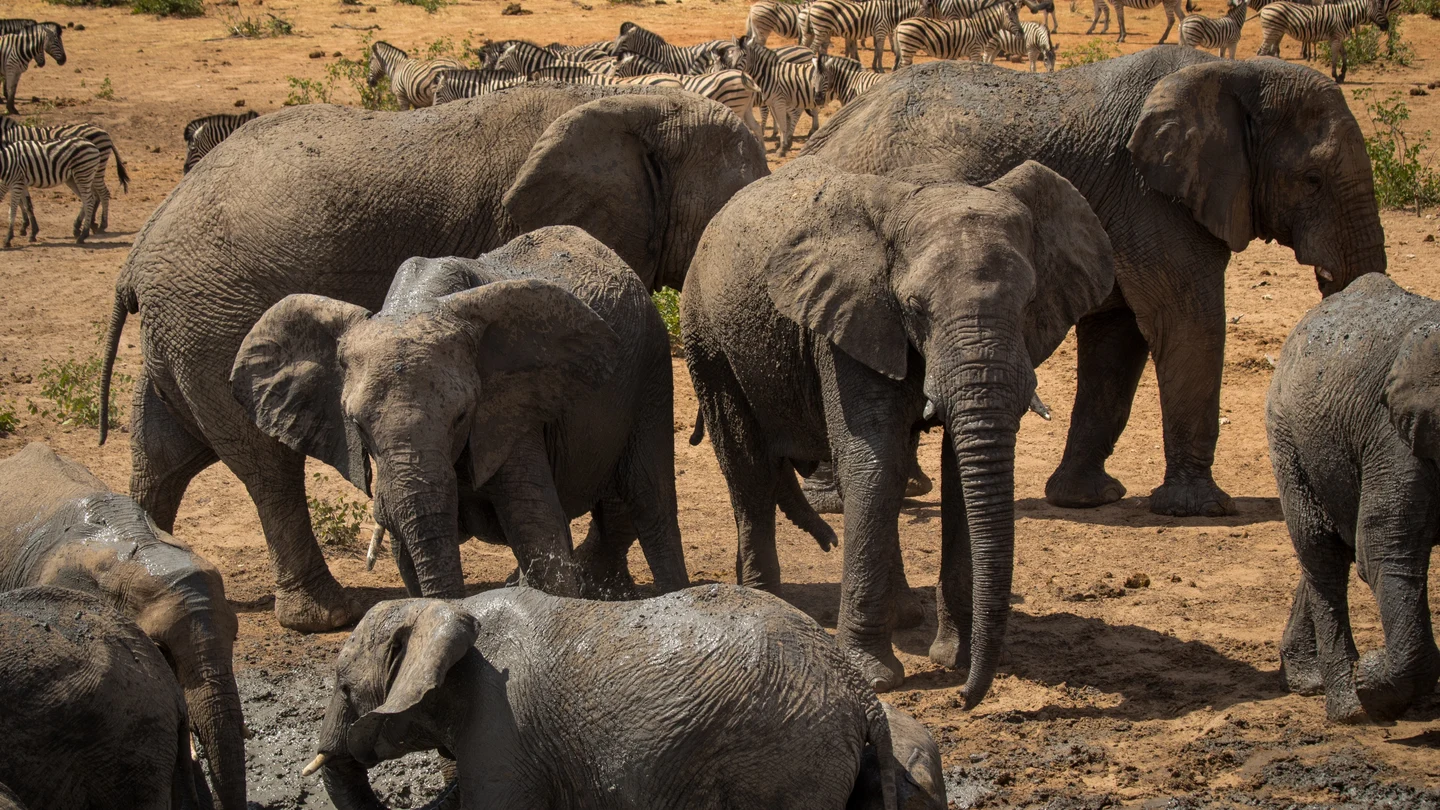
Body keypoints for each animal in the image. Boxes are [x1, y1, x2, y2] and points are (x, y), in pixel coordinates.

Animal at [231, 227, 686, 603]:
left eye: (462, 416)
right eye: (358, 426)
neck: (419, 301)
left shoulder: (512, 410)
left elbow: (536, 529)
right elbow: (407, 550)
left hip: (651, 368)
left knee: (650, 498)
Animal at [682, 156, 1115, 698]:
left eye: (1030, 301)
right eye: (914, 308)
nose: (966, 697)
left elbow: (956, 475)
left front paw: (955, 659)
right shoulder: (848, 321)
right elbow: (875, 464)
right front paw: (876, 677)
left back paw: (905, 614)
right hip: (707, 336)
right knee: (749, 469)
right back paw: (766, 604)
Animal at [800, 47, 1387, 519]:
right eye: (1312, 180)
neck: (1235, 71)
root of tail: (824, 136)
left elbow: (1118, 340)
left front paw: (1087, 499)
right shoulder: (1153, 202)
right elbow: (1188, 323)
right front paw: (1200, 510)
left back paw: (904, 488)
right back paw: (842, 500)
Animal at [1266, 273, 1440, 724]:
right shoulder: (1398, 439)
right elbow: (1384, 553)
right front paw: (1373, 685)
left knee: (1332, 546)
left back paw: (1307, 680)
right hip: (1287, 434)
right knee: (1321, 551)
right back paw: (1347, 706)